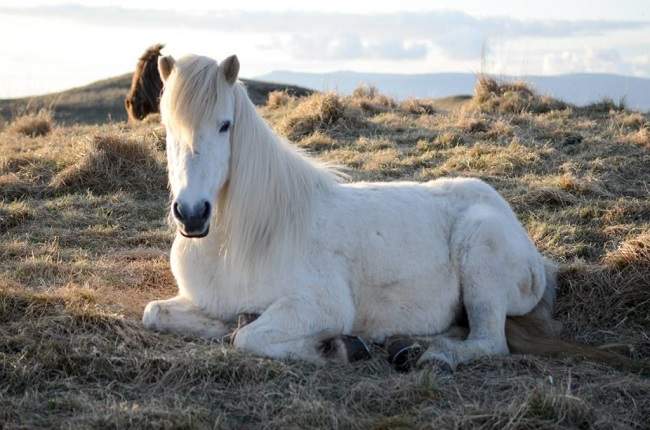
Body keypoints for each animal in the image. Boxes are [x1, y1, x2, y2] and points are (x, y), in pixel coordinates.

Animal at [143, 54, 556, 370]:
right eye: (167, 128)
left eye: (225, 125)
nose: (192, 214)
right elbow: (156, 313)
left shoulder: (321, 305)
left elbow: (248, 337)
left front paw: (337, 347)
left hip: (481, 259)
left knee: (488, 341)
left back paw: (432, 355)